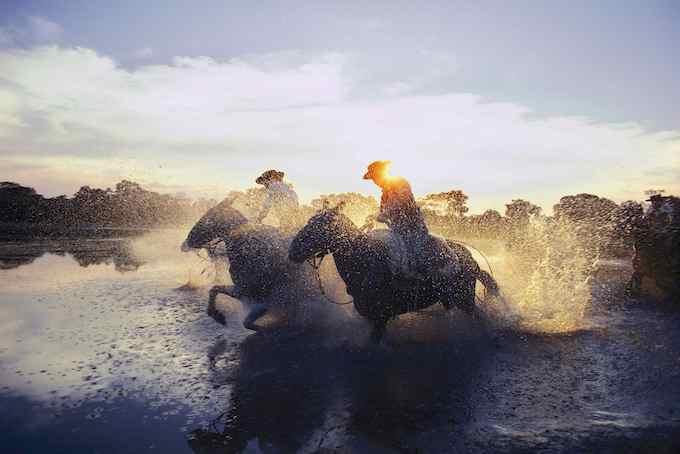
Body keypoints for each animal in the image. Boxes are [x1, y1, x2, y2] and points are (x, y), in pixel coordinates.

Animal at [181, 199, 318, 330]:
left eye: (207, 218)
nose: (186, 242)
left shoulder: (262, 301)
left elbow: (248, 323)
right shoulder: (242, 292)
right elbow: (214, 289)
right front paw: (217, 315)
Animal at [286, 205, 500, 340]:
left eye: (319, 226)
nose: (292, 251)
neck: (363, 259)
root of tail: (471, 259)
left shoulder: (381, 318)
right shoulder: (371, 317)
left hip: (464, 299)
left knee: (480, 317)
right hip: (450, 299)